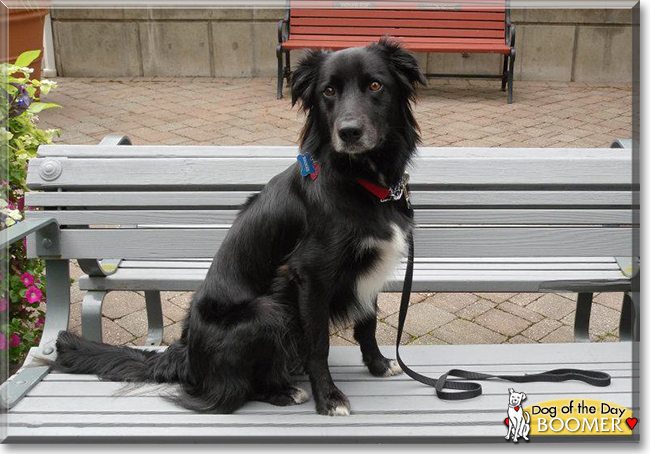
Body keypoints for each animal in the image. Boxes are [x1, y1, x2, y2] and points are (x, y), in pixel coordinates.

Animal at [52, 39, 426, 414]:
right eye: (329, 91)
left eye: (376, 85)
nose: (349, 132)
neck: (359, 180)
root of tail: (185, 356)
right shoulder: (311, 276)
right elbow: (318, 346)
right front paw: (329, 398)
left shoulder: (370, 269)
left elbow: (368, 324)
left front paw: (378, 365)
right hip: (268, 311)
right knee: (234, 389)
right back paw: (282, 391)